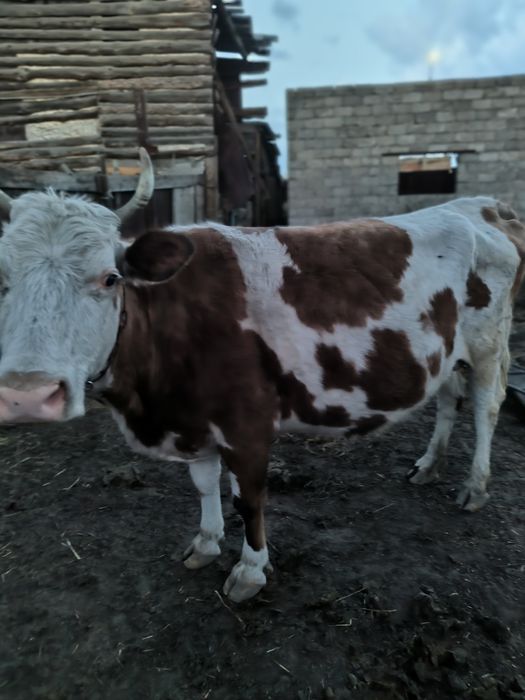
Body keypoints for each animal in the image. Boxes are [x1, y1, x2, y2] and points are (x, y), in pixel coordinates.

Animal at [0, 150, 523, 602]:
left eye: (110, 278)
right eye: (2, 277)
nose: (28, 396)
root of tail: (480, 206)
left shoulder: (246, 425)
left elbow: (249, 500)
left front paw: (250, 571)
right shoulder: (195, 418)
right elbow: (204, 485)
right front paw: (206, 543)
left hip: (488, 343)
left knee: (486, 407)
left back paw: (475, 487)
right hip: (447, 352)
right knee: (448, 399)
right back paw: (428, 465)